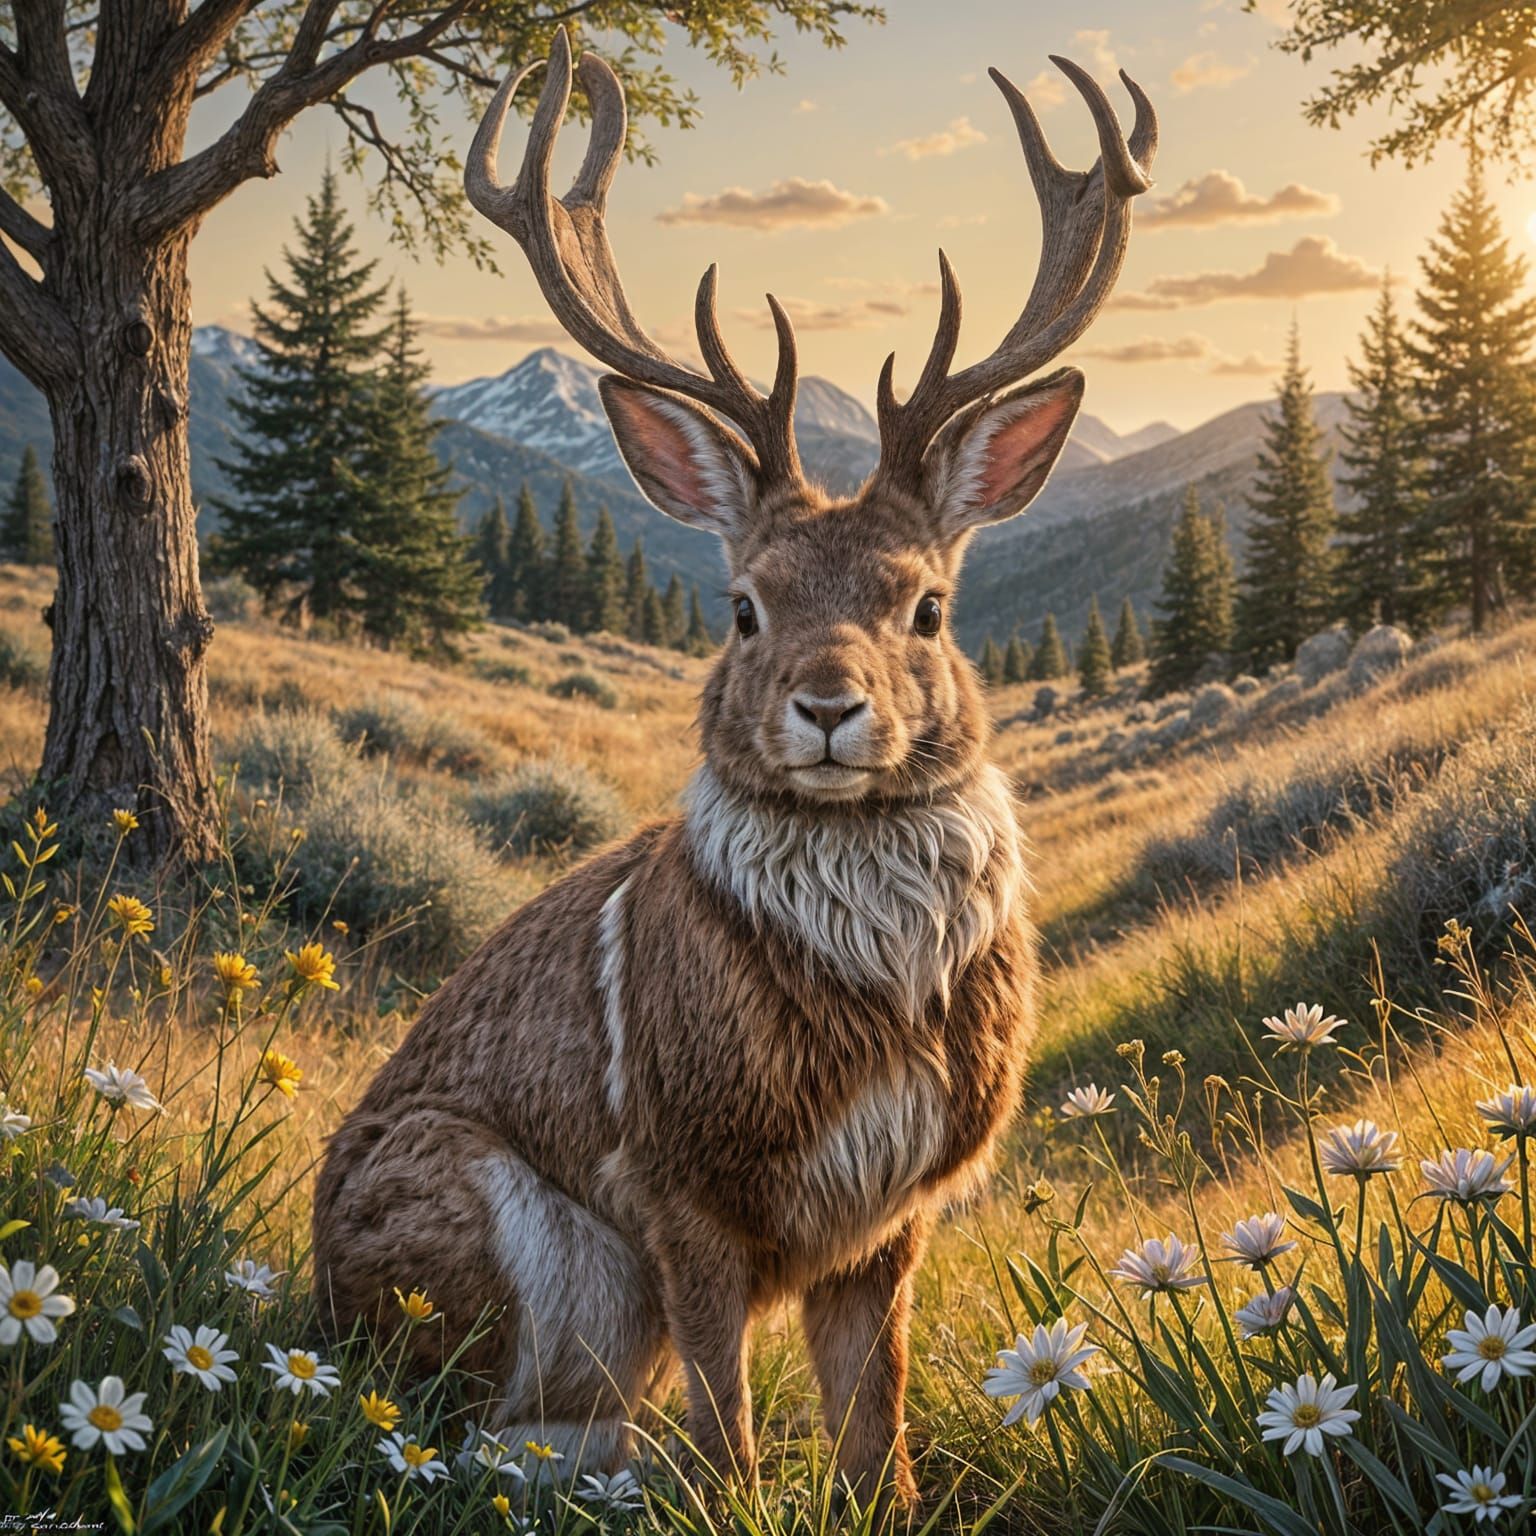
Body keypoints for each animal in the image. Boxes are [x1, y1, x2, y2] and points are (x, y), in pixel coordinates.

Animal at [312, 29, 1155, 1514]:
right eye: (744, 606)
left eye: (927, 604)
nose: (828, 709)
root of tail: (305, 1297)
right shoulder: (681, 1184)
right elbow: (734, 1442)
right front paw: (721, 1486)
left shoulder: (894, 1216)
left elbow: (875, 1439)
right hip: (477, 1214)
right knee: (442, 1426)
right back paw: (595, 1464)